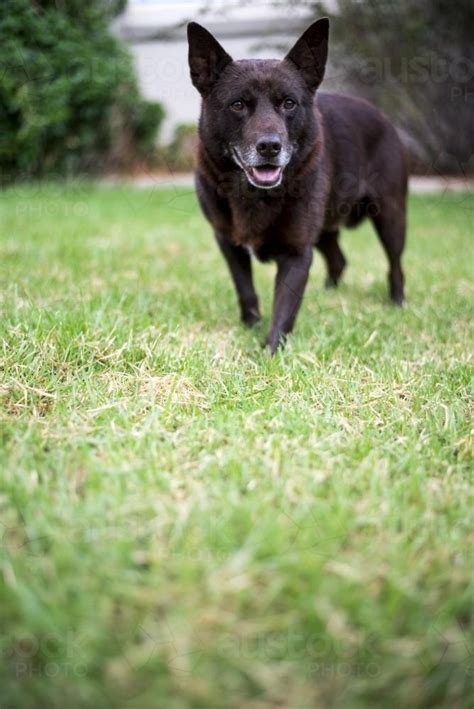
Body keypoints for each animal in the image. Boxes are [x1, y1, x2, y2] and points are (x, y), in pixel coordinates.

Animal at [187, 20, 406, 352]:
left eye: (289, 103)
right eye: (238, 105)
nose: (269, 147)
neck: (255, 196)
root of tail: (383, 117)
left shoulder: (297, 253)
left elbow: (284, 309)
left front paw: (270, 352)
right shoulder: (228, 243)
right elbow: (245, 289)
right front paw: (251, 325)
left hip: (390, 216)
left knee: (395, 264)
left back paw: (397, 303)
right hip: (324, 227)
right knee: (339, 259)